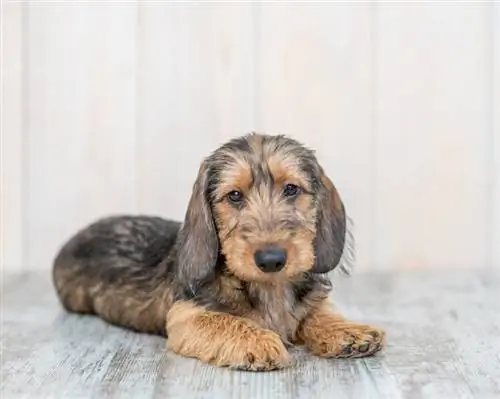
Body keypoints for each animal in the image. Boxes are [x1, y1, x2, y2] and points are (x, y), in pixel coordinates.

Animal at [52, 134, 384, 372]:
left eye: (291, 189)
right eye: (234, 196)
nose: (272, 260)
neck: (268, 289)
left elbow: (319, 311)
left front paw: (348, 331)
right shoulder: (185, 316)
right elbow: (224, 320)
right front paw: (258, 339)